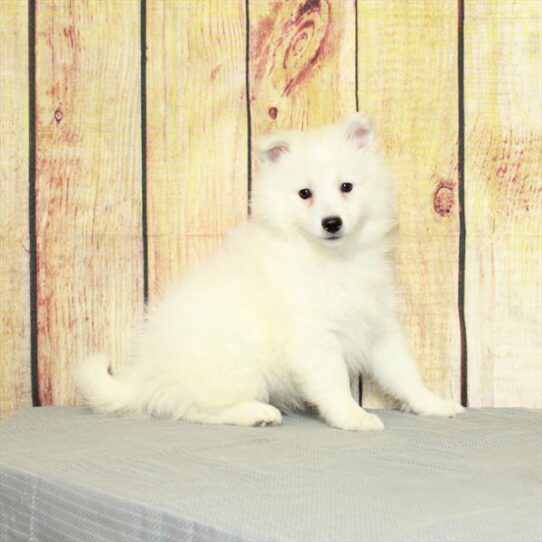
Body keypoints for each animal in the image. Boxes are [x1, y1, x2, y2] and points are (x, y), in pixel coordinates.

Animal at [76, 115, 466, 434]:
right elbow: (334, 382)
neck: (333, 260)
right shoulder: (312, 335)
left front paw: (434, 403)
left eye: (347, 187)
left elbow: (405, 374)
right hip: (237, 360)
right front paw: (352, 416)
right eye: (305, 193)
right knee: (191, 408)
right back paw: (255, 413)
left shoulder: (379, 326)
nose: (332, 222)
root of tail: (148, 372)